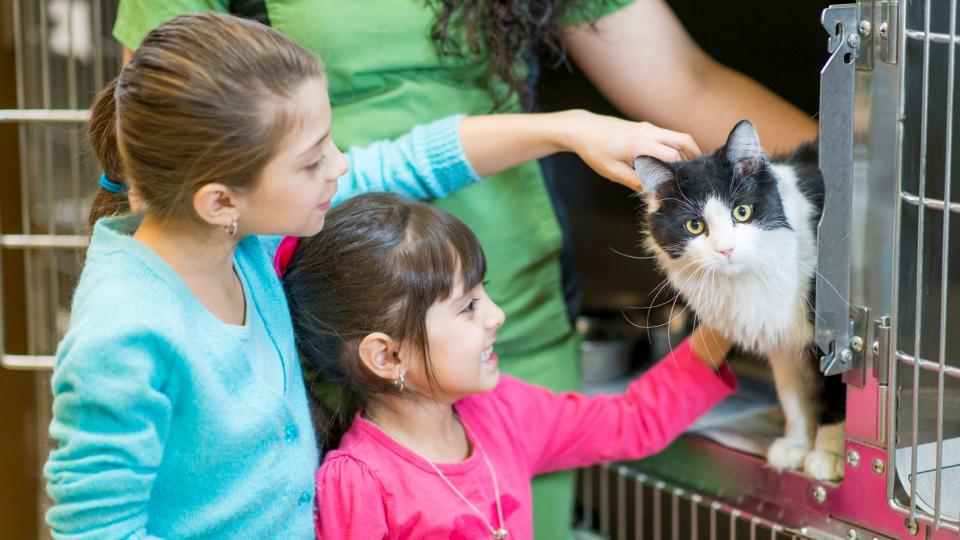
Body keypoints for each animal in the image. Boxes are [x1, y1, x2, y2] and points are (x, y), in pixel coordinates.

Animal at [636, 120, 848, 484]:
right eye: (695, 225)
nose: (726, 249)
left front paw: (830, 455)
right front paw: (796, 445)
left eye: (742, 212)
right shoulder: (782, 340)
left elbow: (835, 396)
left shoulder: (837, 340)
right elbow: (794, 398)